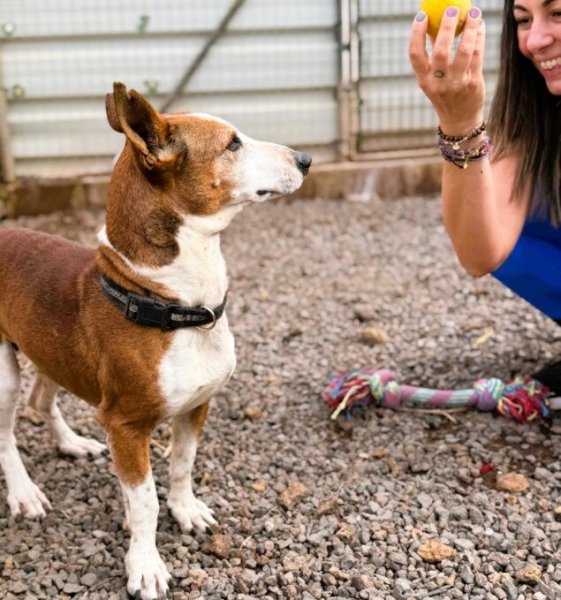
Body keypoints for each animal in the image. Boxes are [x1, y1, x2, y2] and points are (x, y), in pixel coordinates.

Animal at [0, 82, 311, 599]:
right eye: (232, 144)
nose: (305, 159)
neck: (169, 301)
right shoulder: (126, 426)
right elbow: (144, 501)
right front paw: (144, 564)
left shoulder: (196, 406)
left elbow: (183, 464)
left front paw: (186, 511)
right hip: (3, 373)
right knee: (6, 434)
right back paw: (24, 493)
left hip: (50, 351)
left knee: (41, 400)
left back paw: (72, 444)